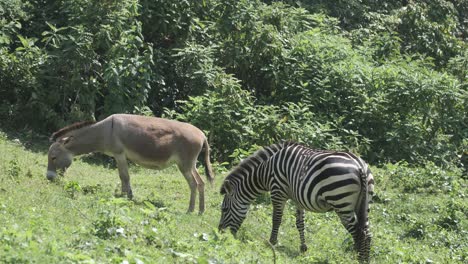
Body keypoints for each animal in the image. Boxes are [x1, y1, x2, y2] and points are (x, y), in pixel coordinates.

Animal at [218, 141, 374, 262]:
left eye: (224, 209)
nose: (220, 233)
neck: (266, 170)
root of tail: (359, 165)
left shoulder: (277, 191)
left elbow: (277, 219)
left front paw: (272, 242)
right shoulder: (298, 197)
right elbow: (300, 223)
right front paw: (303, 248)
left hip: (341, 202)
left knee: (359, 234)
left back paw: (357, 259)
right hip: (364, 204)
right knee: (367, 233)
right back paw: (364, 259)